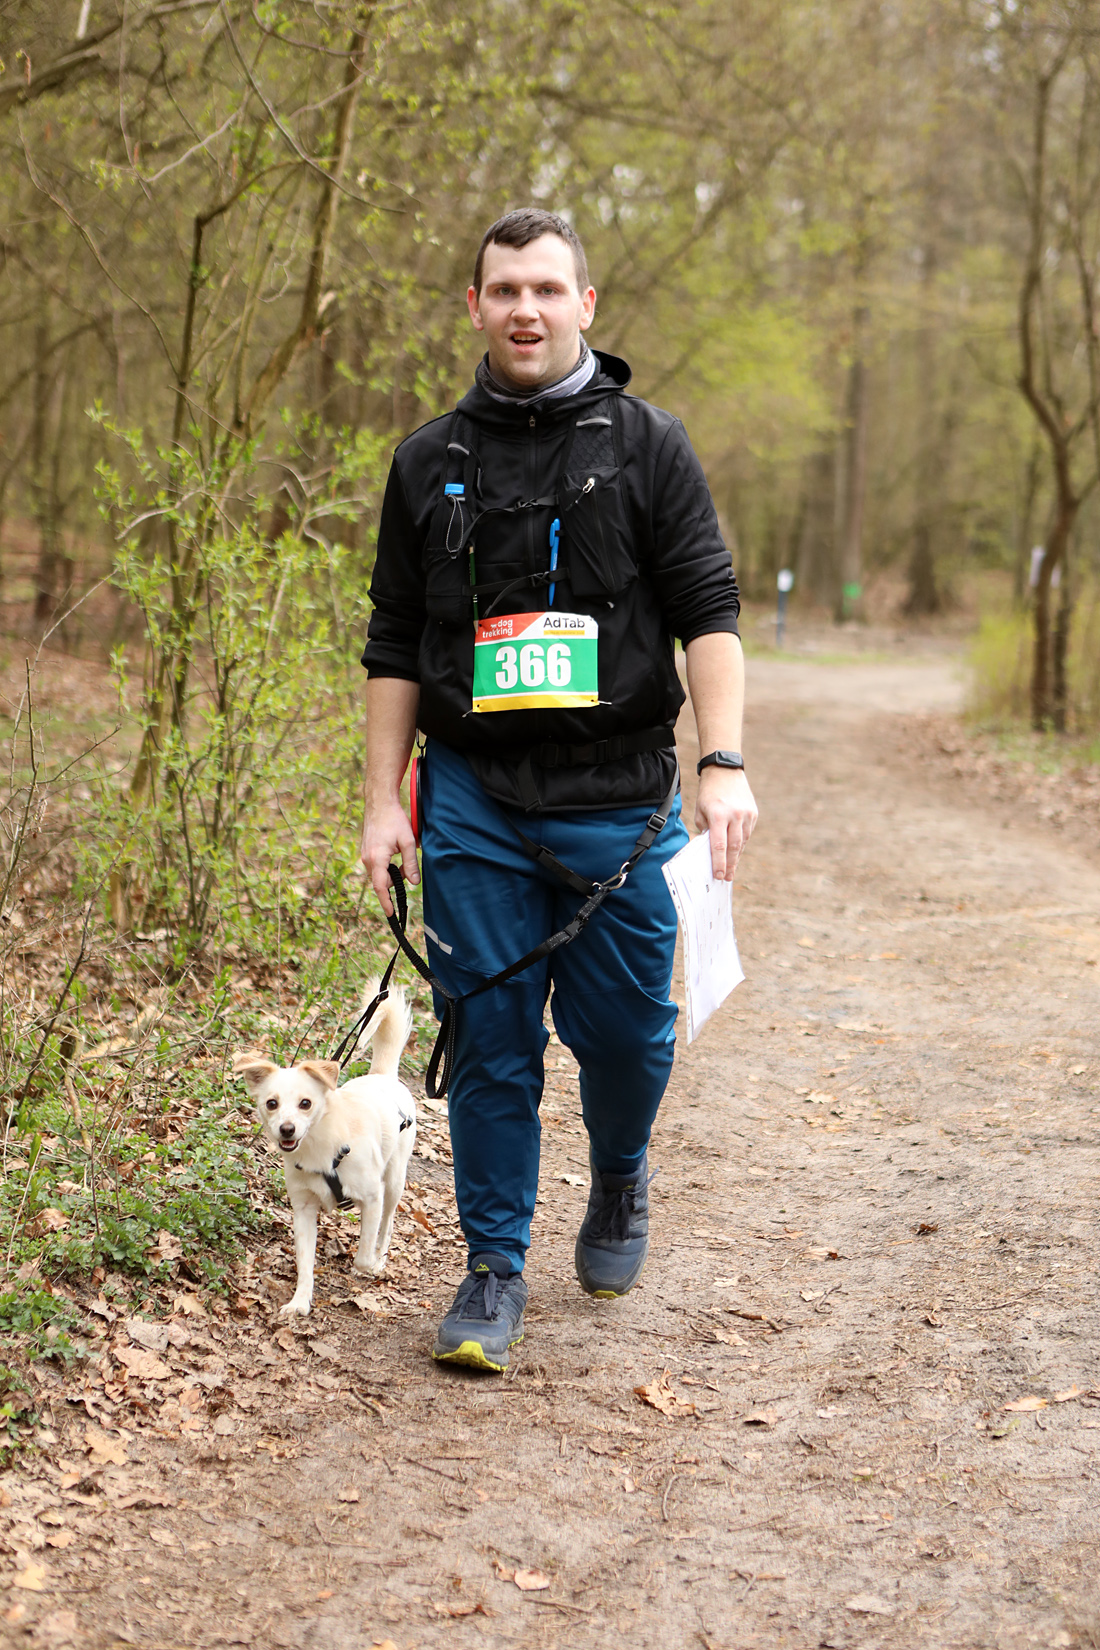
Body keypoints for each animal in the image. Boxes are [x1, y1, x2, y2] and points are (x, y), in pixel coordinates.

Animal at [233, 983, 416, 1317]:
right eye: (271, 1103)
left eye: (306, 1103)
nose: (286, 1129)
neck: (319, 1147)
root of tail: (383, 1076)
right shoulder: (304, 1210)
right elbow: (305, 1264)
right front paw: (300, 1301)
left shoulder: (372, 1198)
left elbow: (364, 1254)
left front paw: (368, 1265)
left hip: (394, 1180)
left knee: (387, 1224)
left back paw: (381, 1256)